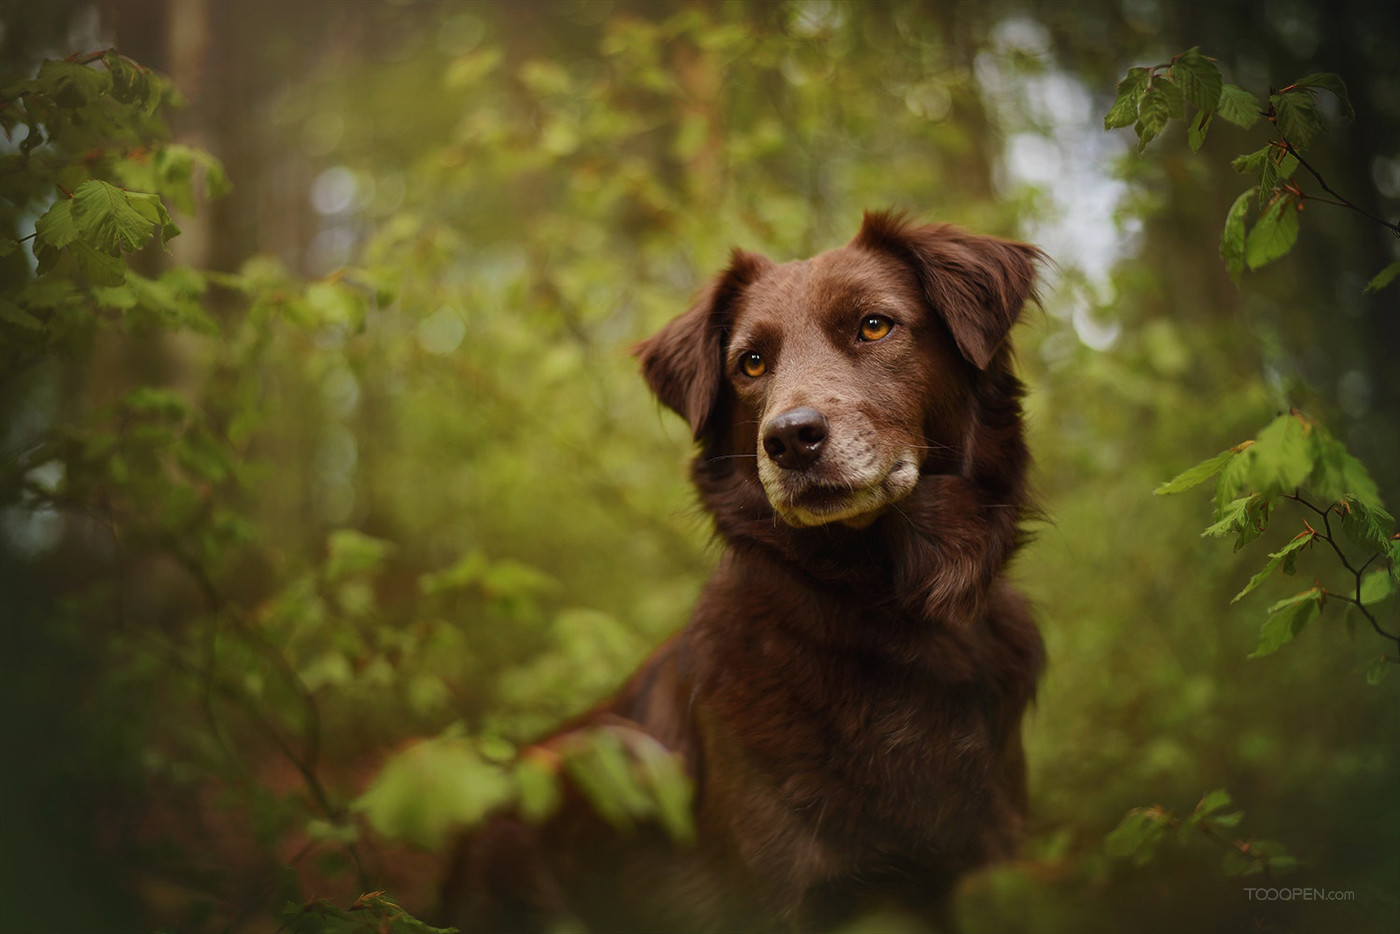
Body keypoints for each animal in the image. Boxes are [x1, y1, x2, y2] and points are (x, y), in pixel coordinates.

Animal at [442, 214, 1047, 934]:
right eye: (751, 363)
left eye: (874, 326)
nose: (789, 440)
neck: (889, 615)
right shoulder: (781, 894)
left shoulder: (986, 864)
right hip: (603, 752)